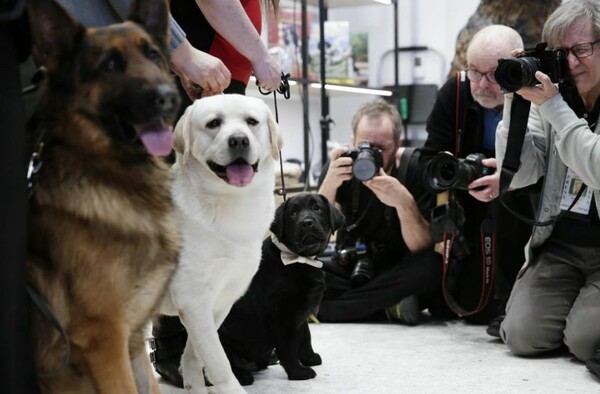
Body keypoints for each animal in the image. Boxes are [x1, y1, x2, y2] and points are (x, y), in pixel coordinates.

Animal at [218, 193, 344, 384]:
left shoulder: (302, 313)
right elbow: (289, 346)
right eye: (293, 213)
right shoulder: (282, 315)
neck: (300, 261)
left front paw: (309, 358)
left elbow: (306, 337)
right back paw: (242, 376)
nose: (307, 222)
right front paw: (298, 372)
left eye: (317, 208)